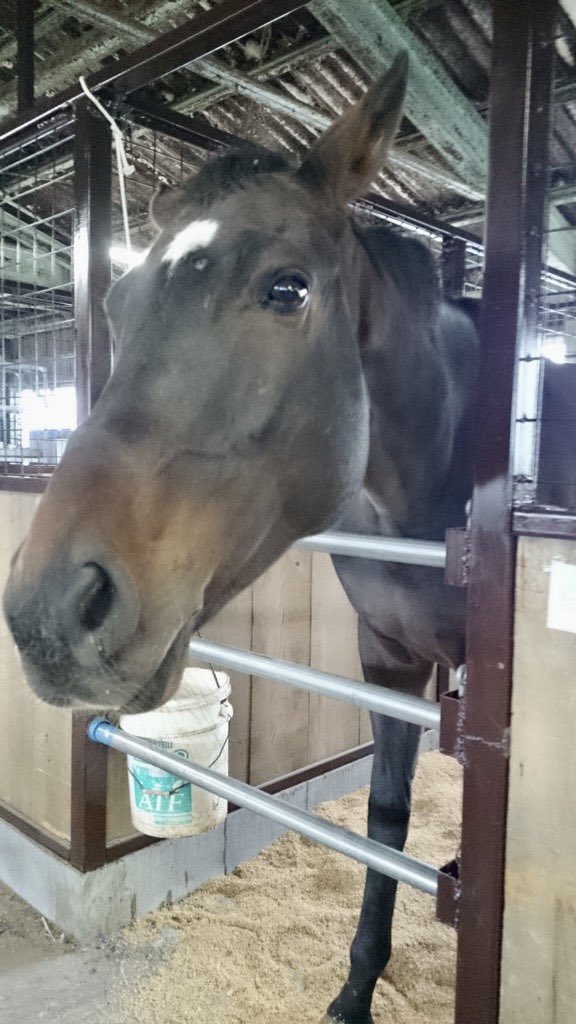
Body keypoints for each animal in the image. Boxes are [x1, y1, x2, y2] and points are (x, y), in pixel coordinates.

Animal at [3, 52, 479, 1024]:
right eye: (117, 300)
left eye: (287, 287)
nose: (51, 612)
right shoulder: (390, 660)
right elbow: (387, 818)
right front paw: (356, 987)